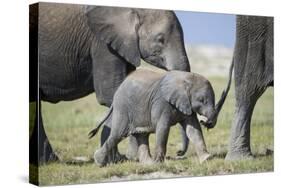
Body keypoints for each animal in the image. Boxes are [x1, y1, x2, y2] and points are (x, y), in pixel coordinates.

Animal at [29, 2, 190, 164]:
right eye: (160, 39)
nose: (179, 152)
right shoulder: (102, 44)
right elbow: (111, 94)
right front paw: (119, 160)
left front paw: (128, 158)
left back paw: (48, 161)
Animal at [89, 70, 217, 167]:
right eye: (202, 100)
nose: (205, 122)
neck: (185, 77)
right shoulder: (161, 103)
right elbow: (163, 128)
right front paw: (159, 163)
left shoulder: (187, 105)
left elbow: (193, 129)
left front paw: (206, 158)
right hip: (123, 107)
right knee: (118, 134)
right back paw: (99, 162)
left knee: (140, 135)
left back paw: (149, 164)